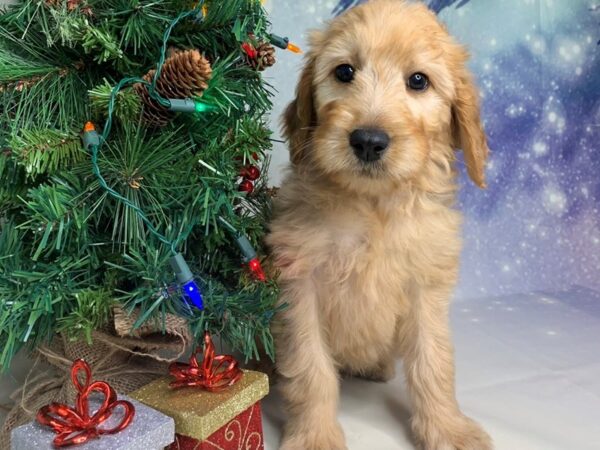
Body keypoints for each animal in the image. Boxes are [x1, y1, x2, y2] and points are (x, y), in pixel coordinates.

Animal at [268, 1, 492, 448]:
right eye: (344, 72)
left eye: (418, 80)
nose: (368, 141)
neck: (373, 207)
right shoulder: (299, 284)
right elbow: (310, 368)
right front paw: (314, 435)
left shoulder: (425, 287)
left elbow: (433, 363)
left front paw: (447, 428)